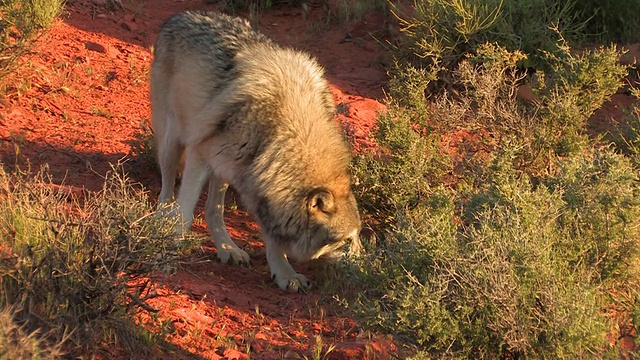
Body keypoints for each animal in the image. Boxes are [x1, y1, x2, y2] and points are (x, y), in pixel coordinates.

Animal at [149, 11, 360, 292]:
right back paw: (162, 218)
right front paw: (169, 244)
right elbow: (185, 212)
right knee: (167, 188)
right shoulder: (200, 153)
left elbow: (271, 237)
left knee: (213, 211)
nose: (367, 267)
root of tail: (183, 15)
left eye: (357, 237)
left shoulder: (260, 180)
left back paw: (227, 249)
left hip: (226, 167)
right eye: (346, 241)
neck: (286, 129)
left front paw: (284, 273)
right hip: (173, 141)